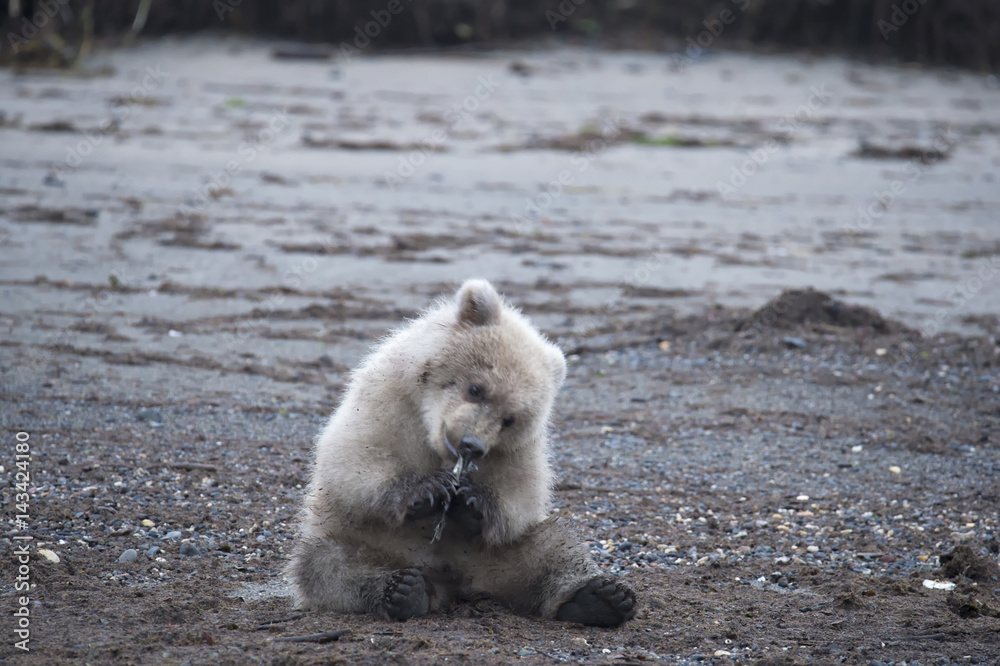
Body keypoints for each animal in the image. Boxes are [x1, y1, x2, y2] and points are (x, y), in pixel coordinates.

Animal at [286, 278, 636, 627]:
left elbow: (524, 492)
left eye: (510, 419)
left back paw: (600, 598)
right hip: (362, 539)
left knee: (555, 545)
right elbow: (353, 457)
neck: (429, 427)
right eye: (477, 388)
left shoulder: (517, 449)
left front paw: (470, 501)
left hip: (497, 554)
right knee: (327, 566)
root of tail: (454, 580)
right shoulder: (388, 399)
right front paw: (428, 489)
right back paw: (403, 591)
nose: (472, 444)